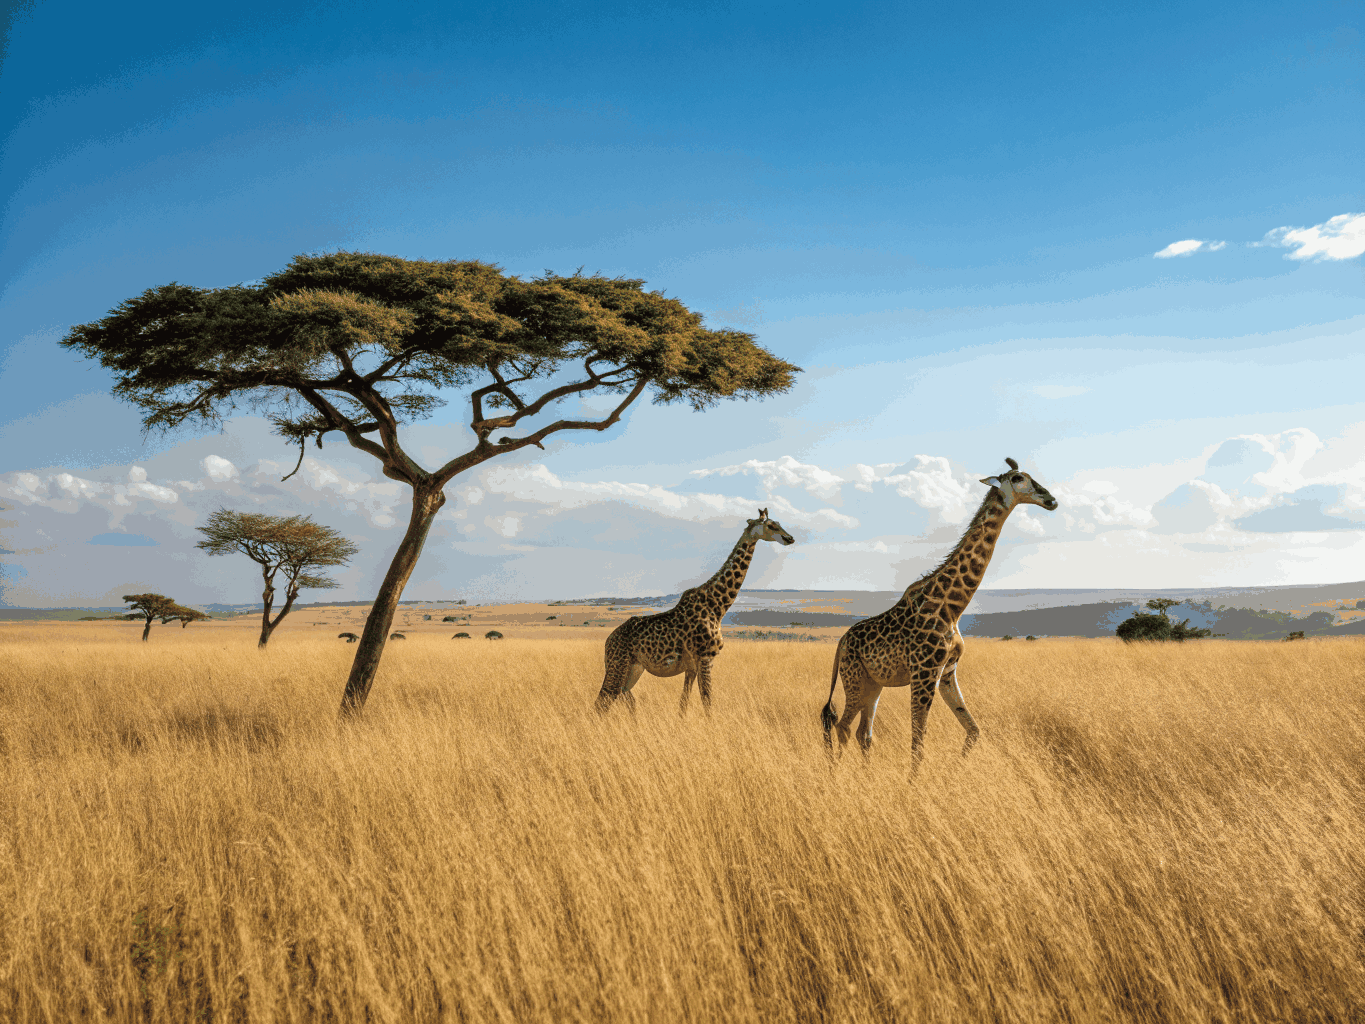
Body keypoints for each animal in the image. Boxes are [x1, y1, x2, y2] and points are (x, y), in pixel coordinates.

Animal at [595, 509, 796, 715]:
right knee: (602, 701)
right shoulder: (706, 656)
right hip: (618, 664)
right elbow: (707, 700)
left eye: (779, 523)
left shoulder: (692, 665)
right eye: (771, 525)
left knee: (622, 697)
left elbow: (683, 703)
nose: (790, 538)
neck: (718, 606)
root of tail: (608, 642)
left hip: (633, 668)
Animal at [820, 458, 1058, 768]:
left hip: (874, 684)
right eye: (1019, 478)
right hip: (854, 679)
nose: (1051, 500)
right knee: (843, 727)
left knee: (863, 733)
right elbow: (918, 742)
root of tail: (840, 643)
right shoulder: (924, 671)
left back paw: (866, 774)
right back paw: (837, 774)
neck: (952, 607)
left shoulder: (947, 670)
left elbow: (973, 729)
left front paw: (958, 768)